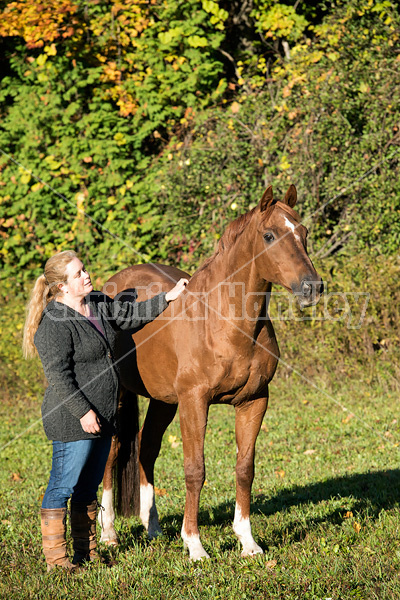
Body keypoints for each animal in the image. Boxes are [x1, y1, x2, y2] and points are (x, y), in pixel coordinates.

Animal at [98, 185, 324, 560]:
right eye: (269, 235)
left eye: (303, 233)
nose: (312, 287)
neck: (223, 322)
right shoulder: (195, 401)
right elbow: (195, 470)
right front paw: (194, 545)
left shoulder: (254, 401)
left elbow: (245, 469)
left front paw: (248, 542)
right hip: (116, 396)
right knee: (111, 452)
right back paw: (109, 534)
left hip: (164, 401)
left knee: (147, 448)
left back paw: (153, 528)